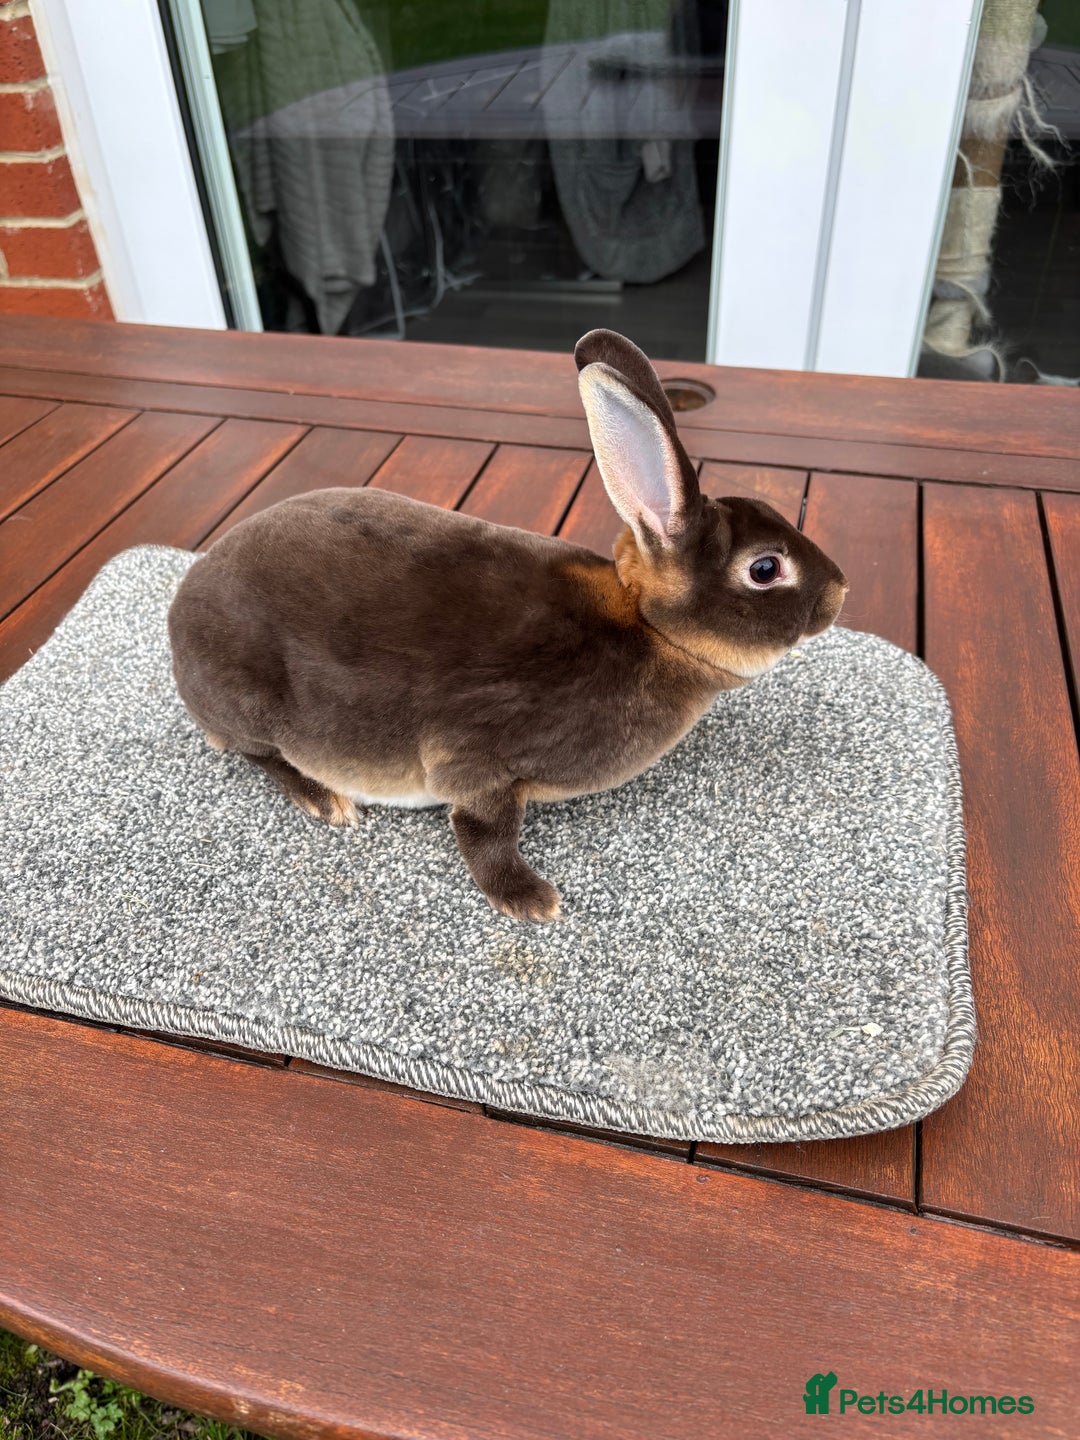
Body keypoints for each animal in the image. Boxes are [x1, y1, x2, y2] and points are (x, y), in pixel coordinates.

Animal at [168, 329, 848, 923]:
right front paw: (529, 901)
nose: (841, 591)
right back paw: (325, 800)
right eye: (765, 569)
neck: (647, 629)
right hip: (251, 704)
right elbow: (484, 830)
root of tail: (178, 619)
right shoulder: (479, 758)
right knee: (258, 753)